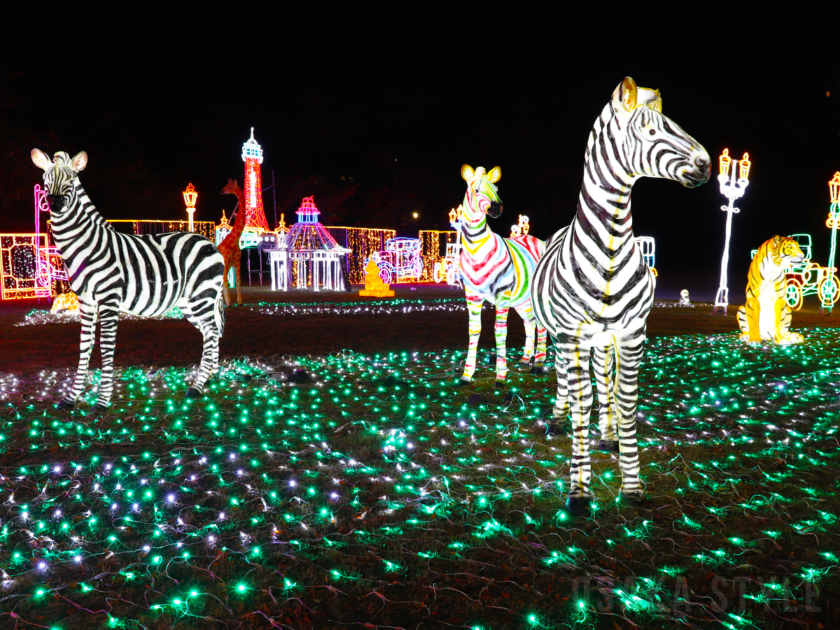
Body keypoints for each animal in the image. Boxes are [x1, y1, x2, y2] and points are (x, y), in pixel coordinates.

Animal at [456, 165, 548, 386]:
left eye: (497, 188)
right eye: (477, 189)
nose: (498, 208)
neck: (476, 249)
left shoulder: (502, 293)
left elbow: (500, 331)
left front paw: (500, 375)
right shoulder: (472, 295)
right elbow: (474, 330)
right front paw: (467, 374)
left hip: (536, 294)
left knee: (541, 325)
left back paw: (539, 364)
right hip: (523, 300)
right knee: (530, 322)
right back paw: (526, 358)